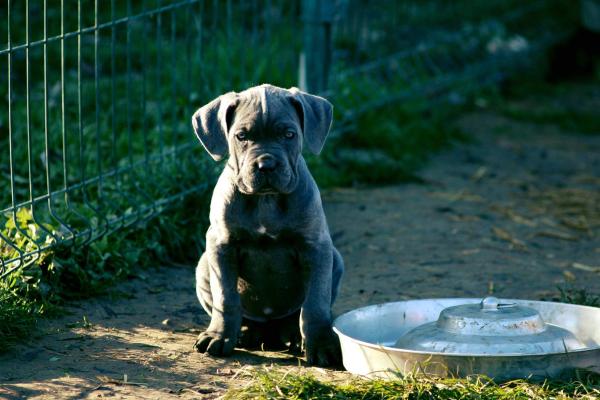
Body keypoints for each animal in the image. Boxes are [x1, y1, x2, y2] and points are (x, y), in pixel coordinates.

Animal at [190, 83, 344, 366]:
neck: (266, 200)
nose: (266, 164)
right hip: (204, 265)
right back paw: (246, 333)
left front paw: (322, 344)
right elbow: (226, 298)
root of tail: (271, 333)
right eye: (241, 136)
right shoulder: (221, 246)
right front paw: (219, 336)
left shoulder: (316, 248)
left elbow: (315, 305)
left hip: (335, 259)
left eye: (289, 134)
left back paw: (293, 336)